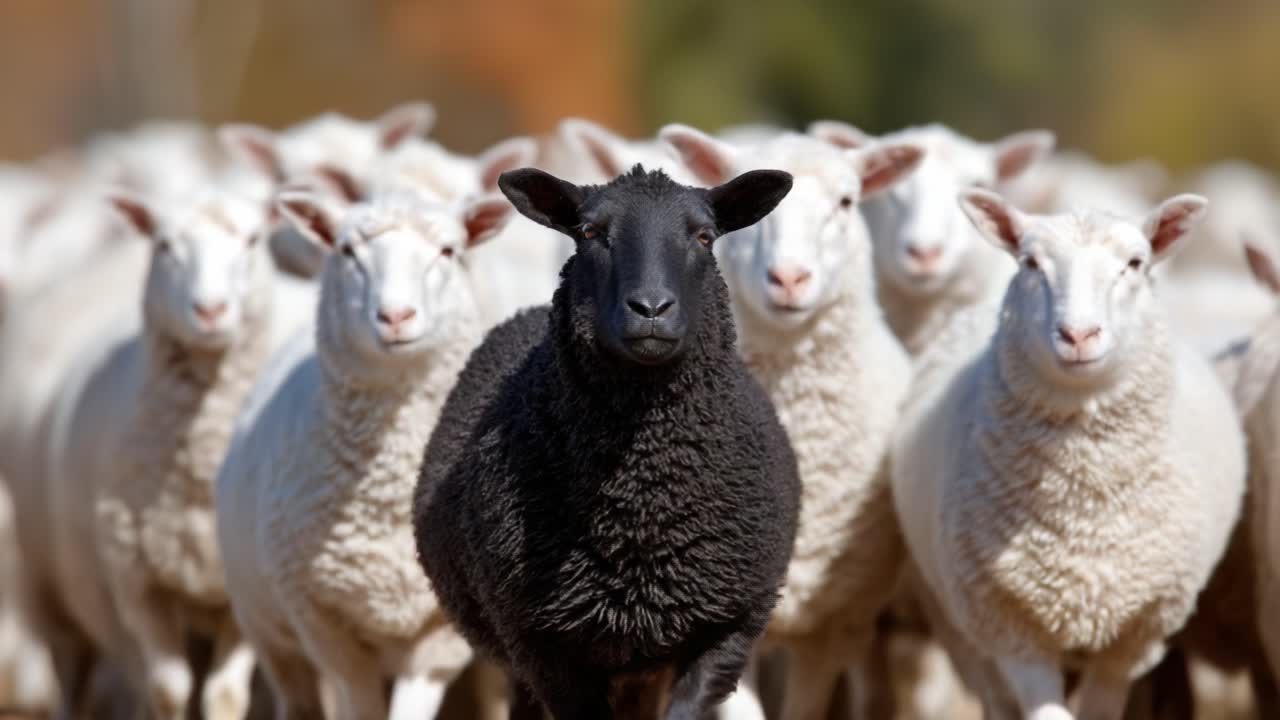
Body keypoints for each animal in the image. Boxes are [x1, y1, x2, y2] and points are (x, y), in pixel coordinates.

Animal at [215, 187, 515, 720]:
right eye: (347, 251)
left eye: (449, 251)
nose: (395, 317)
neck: (388, 494)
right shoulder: (326, 626)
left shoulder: (439, 640)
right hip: (267, 627)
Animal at [891, 189, 1245, 719]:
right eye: (1030, 263)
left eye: (1135, 263)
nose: (1078, 336)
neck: (1080, 506)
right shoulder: (1011, 629)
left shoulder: (1131, 640)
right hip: (961, 624)